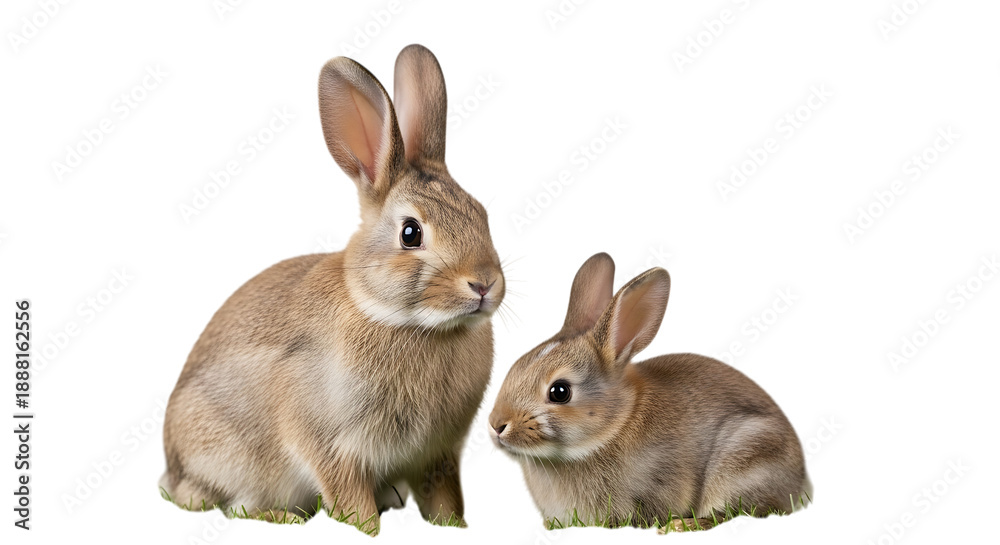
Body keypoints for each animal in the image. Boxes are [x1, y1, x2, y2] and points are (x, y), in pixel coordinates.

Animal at [160, 44, 505, 534]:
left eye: (480, 214)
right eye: (411, 233)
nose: (484, 283)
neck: (407, 322)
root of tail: (172, 468)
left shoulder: (437, 454)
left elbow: (444, 497)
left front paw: (452, 528)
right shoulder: (332, 444)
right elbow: (349, 497)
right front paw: (367, 529)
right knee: (231, 505)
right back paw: (284, 517)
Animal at [488, 253, 810, 529]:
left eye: (559, 391)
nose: (496, 425)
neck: (614, 426)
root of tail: (801, 483)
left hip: (748, 455)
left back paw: (682, 526)